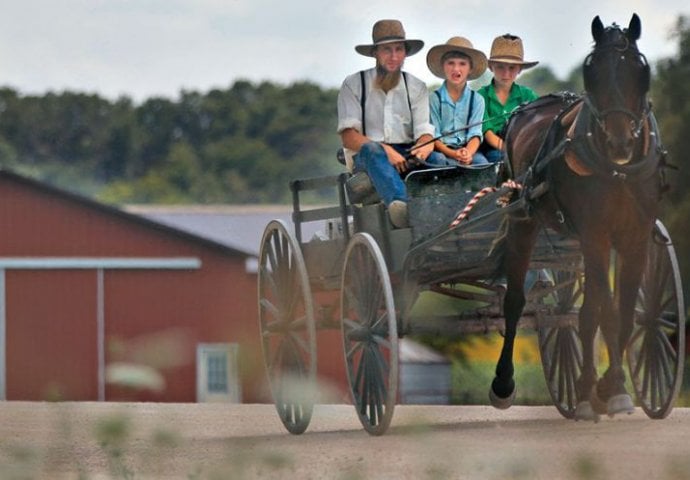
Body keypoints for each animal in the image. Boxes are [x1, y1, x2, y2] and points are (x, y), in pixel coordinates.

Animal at [490, 13, 660, 420]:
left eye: (640, 69)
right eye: (591, 70)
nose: (619, 143)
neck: (618, 170)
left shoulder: (635, 237)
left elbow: (622, 313)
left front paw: (608, 387)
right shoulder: (596, 234)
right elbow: (607, 313)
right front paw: (606, 391)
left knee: (583, 311)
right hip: (524, 221)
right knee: (515, 301)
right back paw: (504, 383)